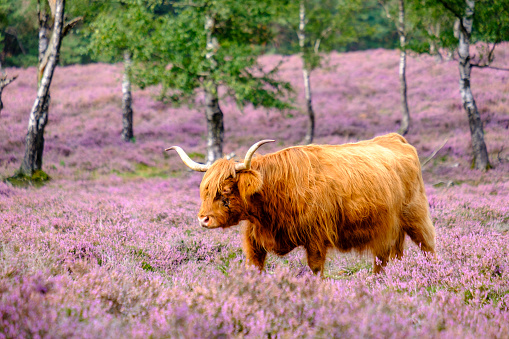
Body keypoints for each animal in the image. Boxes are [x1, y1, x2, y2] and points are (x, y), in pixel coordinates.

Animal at [166, 134, 432, 274]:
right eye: (204, 190)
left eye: (227, 190)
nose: (204, 219)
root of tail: (394, 138)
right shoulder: (254, 241)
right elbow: (255, 268)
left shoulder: (316, 238)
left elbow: (315, 269)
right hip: (389, 231)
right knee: (386, 259)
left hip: (415, 217)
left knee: (428, 247)